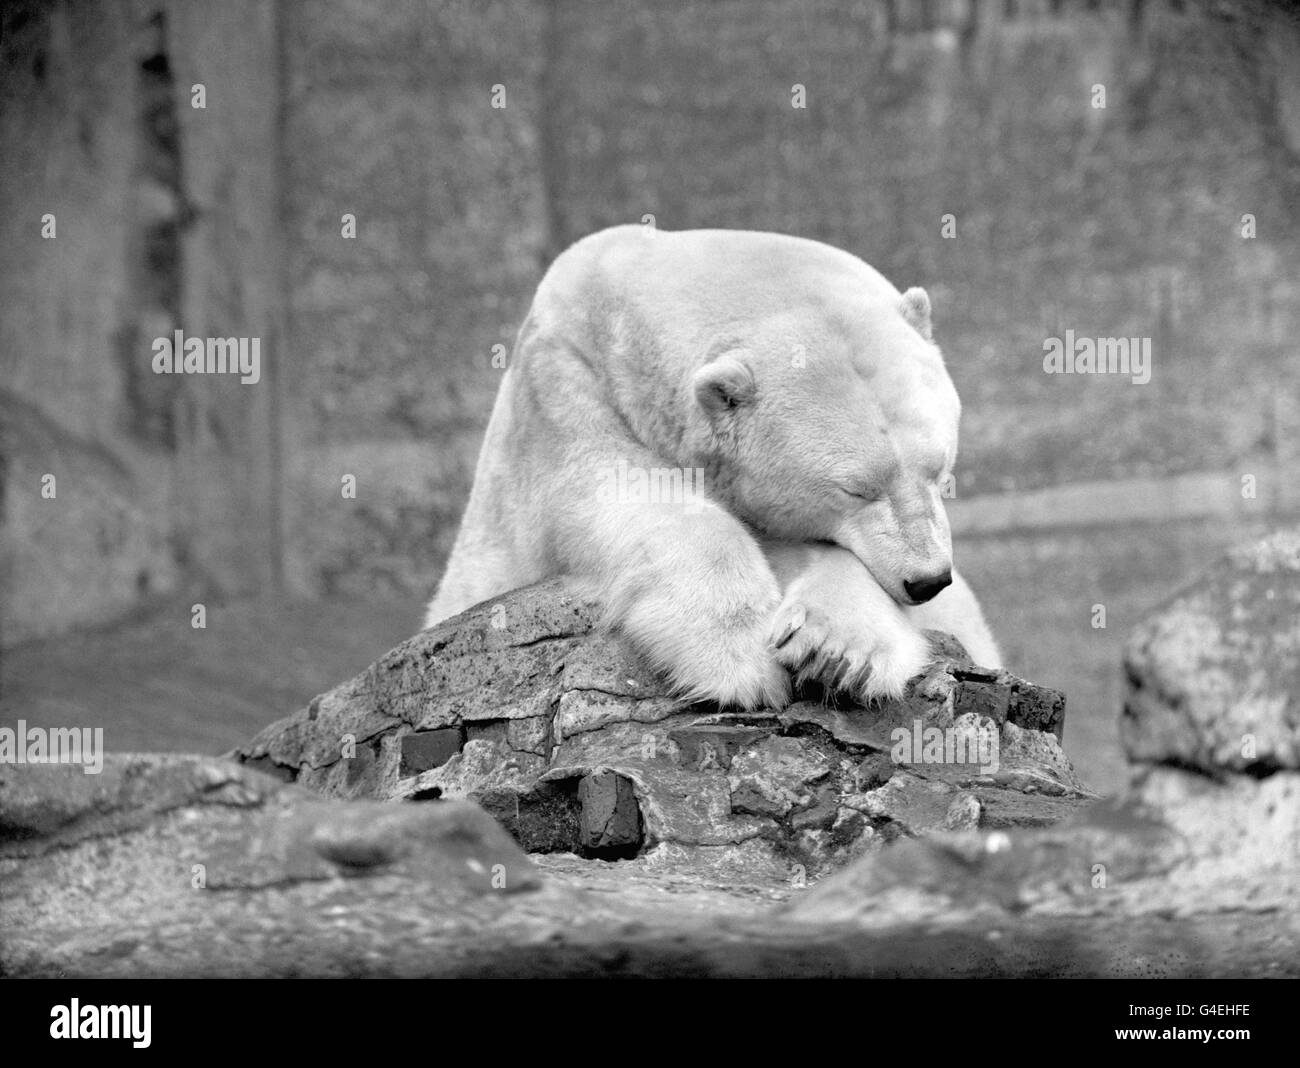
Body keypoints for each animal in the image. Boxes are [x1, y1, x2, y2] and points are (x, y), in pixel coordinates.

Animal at [425, 225, 999, 708]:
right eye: (855, 490)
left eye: (939, 469)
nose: (928, 580)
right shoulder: (560, 390)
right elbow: (617, 491)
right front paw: (743, 658)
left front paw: (836, 652)